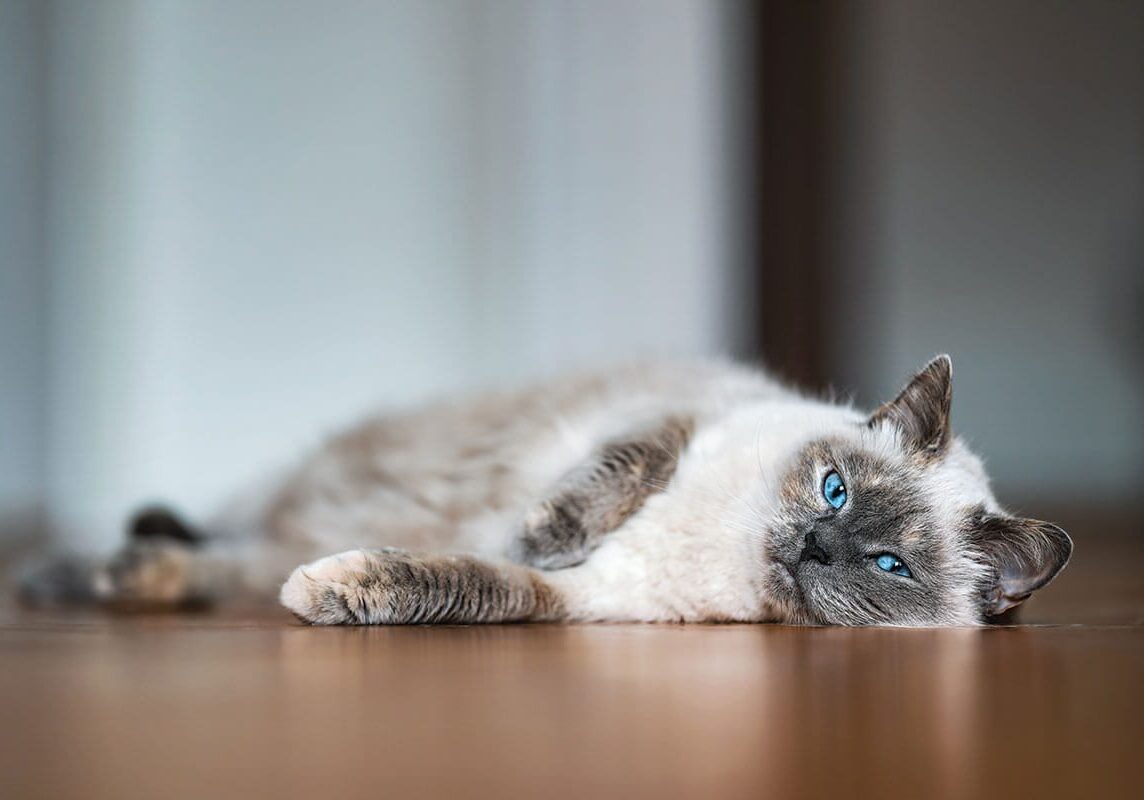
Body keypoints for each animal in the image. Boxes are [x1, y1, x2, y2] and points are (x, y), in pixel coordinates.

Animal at [17, 354, 1070, 627]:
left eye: (888, 566)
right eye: (835, 489)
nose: (814, 542)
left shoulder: (574, 604)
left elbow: (458, 584)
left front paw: (334, 593)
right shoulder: (678, 420)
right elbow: (606, 478)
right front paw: (547, 528)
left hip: (251, 555)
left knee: (218, 569)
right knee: (201, 540)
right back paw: (54, 577)